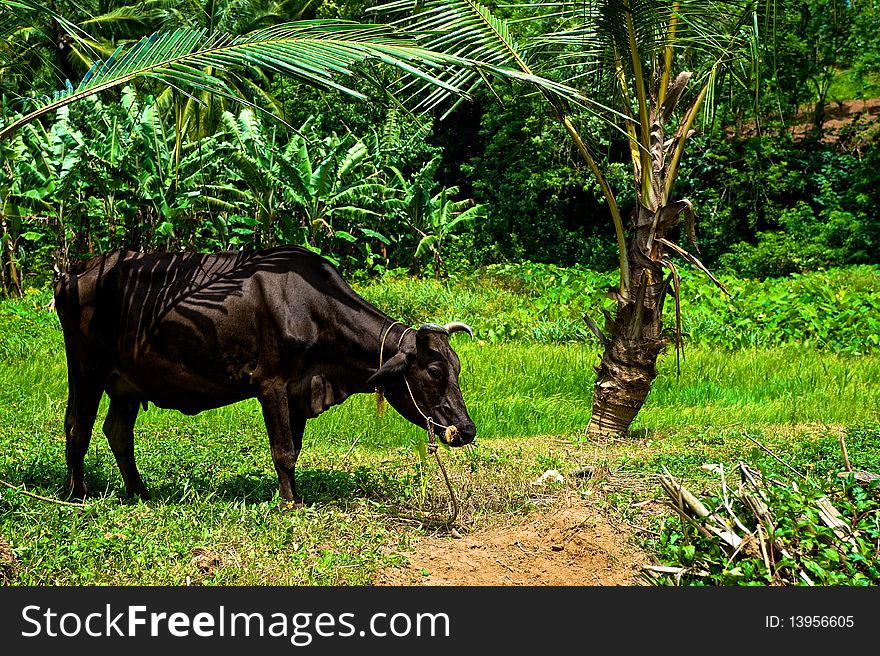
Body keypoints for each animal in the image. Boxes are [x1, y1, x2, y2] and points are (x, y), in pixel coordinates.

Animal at [51, 247, 478, 508]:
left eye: (458, 367)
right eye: (435, 370)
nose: (467, 429)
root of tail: (75, 272)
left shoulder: (303, 390)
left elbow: (294, 449)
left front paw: (292, 494)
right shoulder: (271, 383)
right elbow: (283, 450)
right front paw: (290, 503)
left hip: (127, 382)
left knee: (117, 430)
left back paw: (140, 492)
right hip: (86, 368)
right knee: (77, 426)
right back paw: (76, 494)